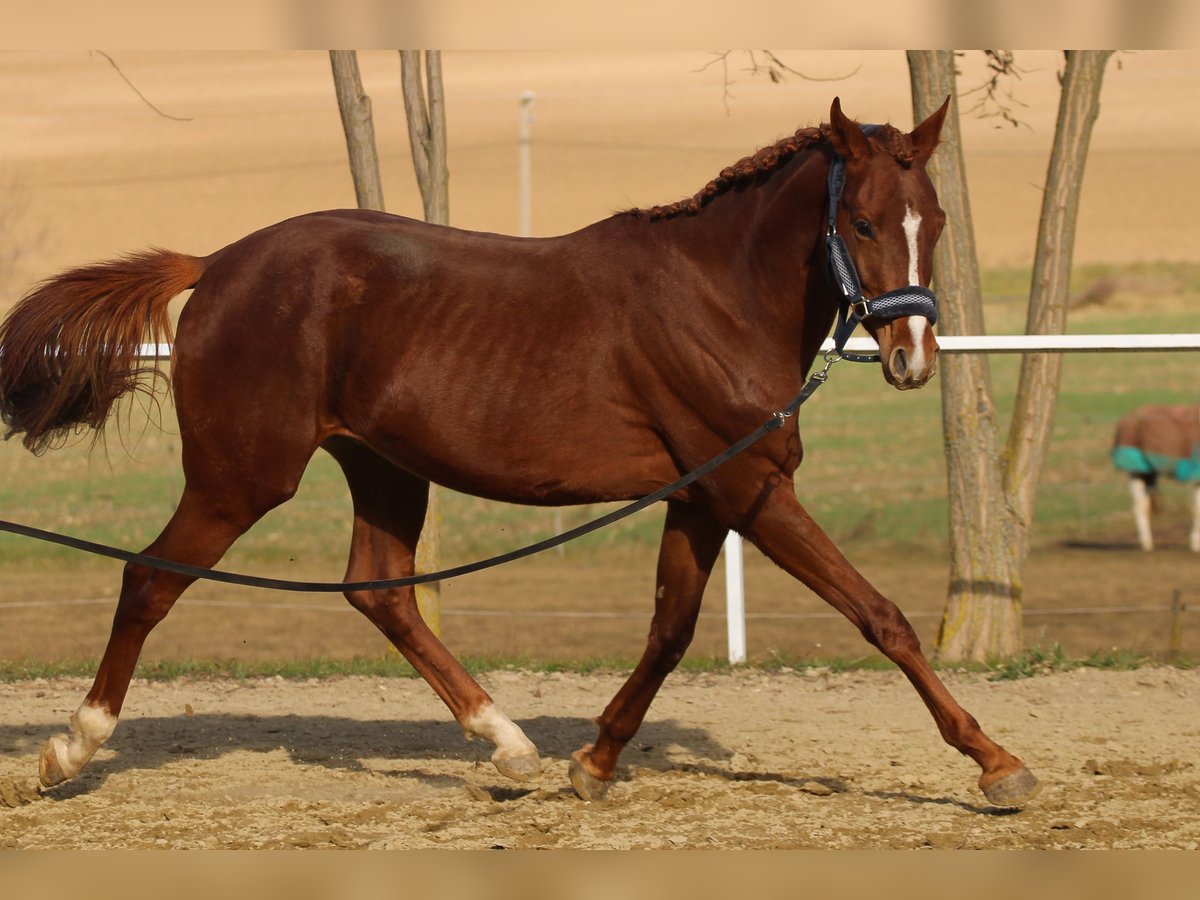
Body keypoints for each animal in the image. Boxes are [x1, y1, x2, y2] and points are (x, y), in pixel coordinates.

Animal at [0, 97, 1040, 808]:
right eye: (861, 222)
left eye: (935, 221)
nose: (912, 357)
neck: (718, 296)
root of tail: (218, 264)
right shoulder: (750, 486)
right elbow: (881, 617)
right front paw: (998, 764)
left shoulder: (701, 494)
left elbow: (670, 631)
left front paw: (593, 761)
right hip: (241, 477)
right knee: (149, 579)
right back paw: (68, 750)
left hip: (385, 468)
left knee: (380, 590)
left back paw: (507, 744)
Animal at [1112, 403, 1200, 551]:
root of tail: (1125, 419)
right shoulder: (1195, 475)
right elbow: (1197, 509)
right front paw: (1195, 545)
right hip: (1135, 468)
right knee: (1139, 505)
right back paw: (1146, 545)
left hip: (1149, 472)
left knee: (1145, 504)